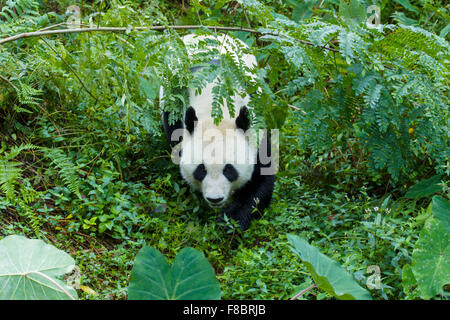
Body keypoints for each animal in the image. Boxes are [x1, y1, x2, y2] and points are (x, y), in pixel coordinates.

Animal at [160, 33, 276, 231]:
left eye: (229, 170)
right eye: (201, 170)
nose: (215, 199)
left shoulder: (255, 129)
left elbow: (261, 182)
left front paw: (231, 219)